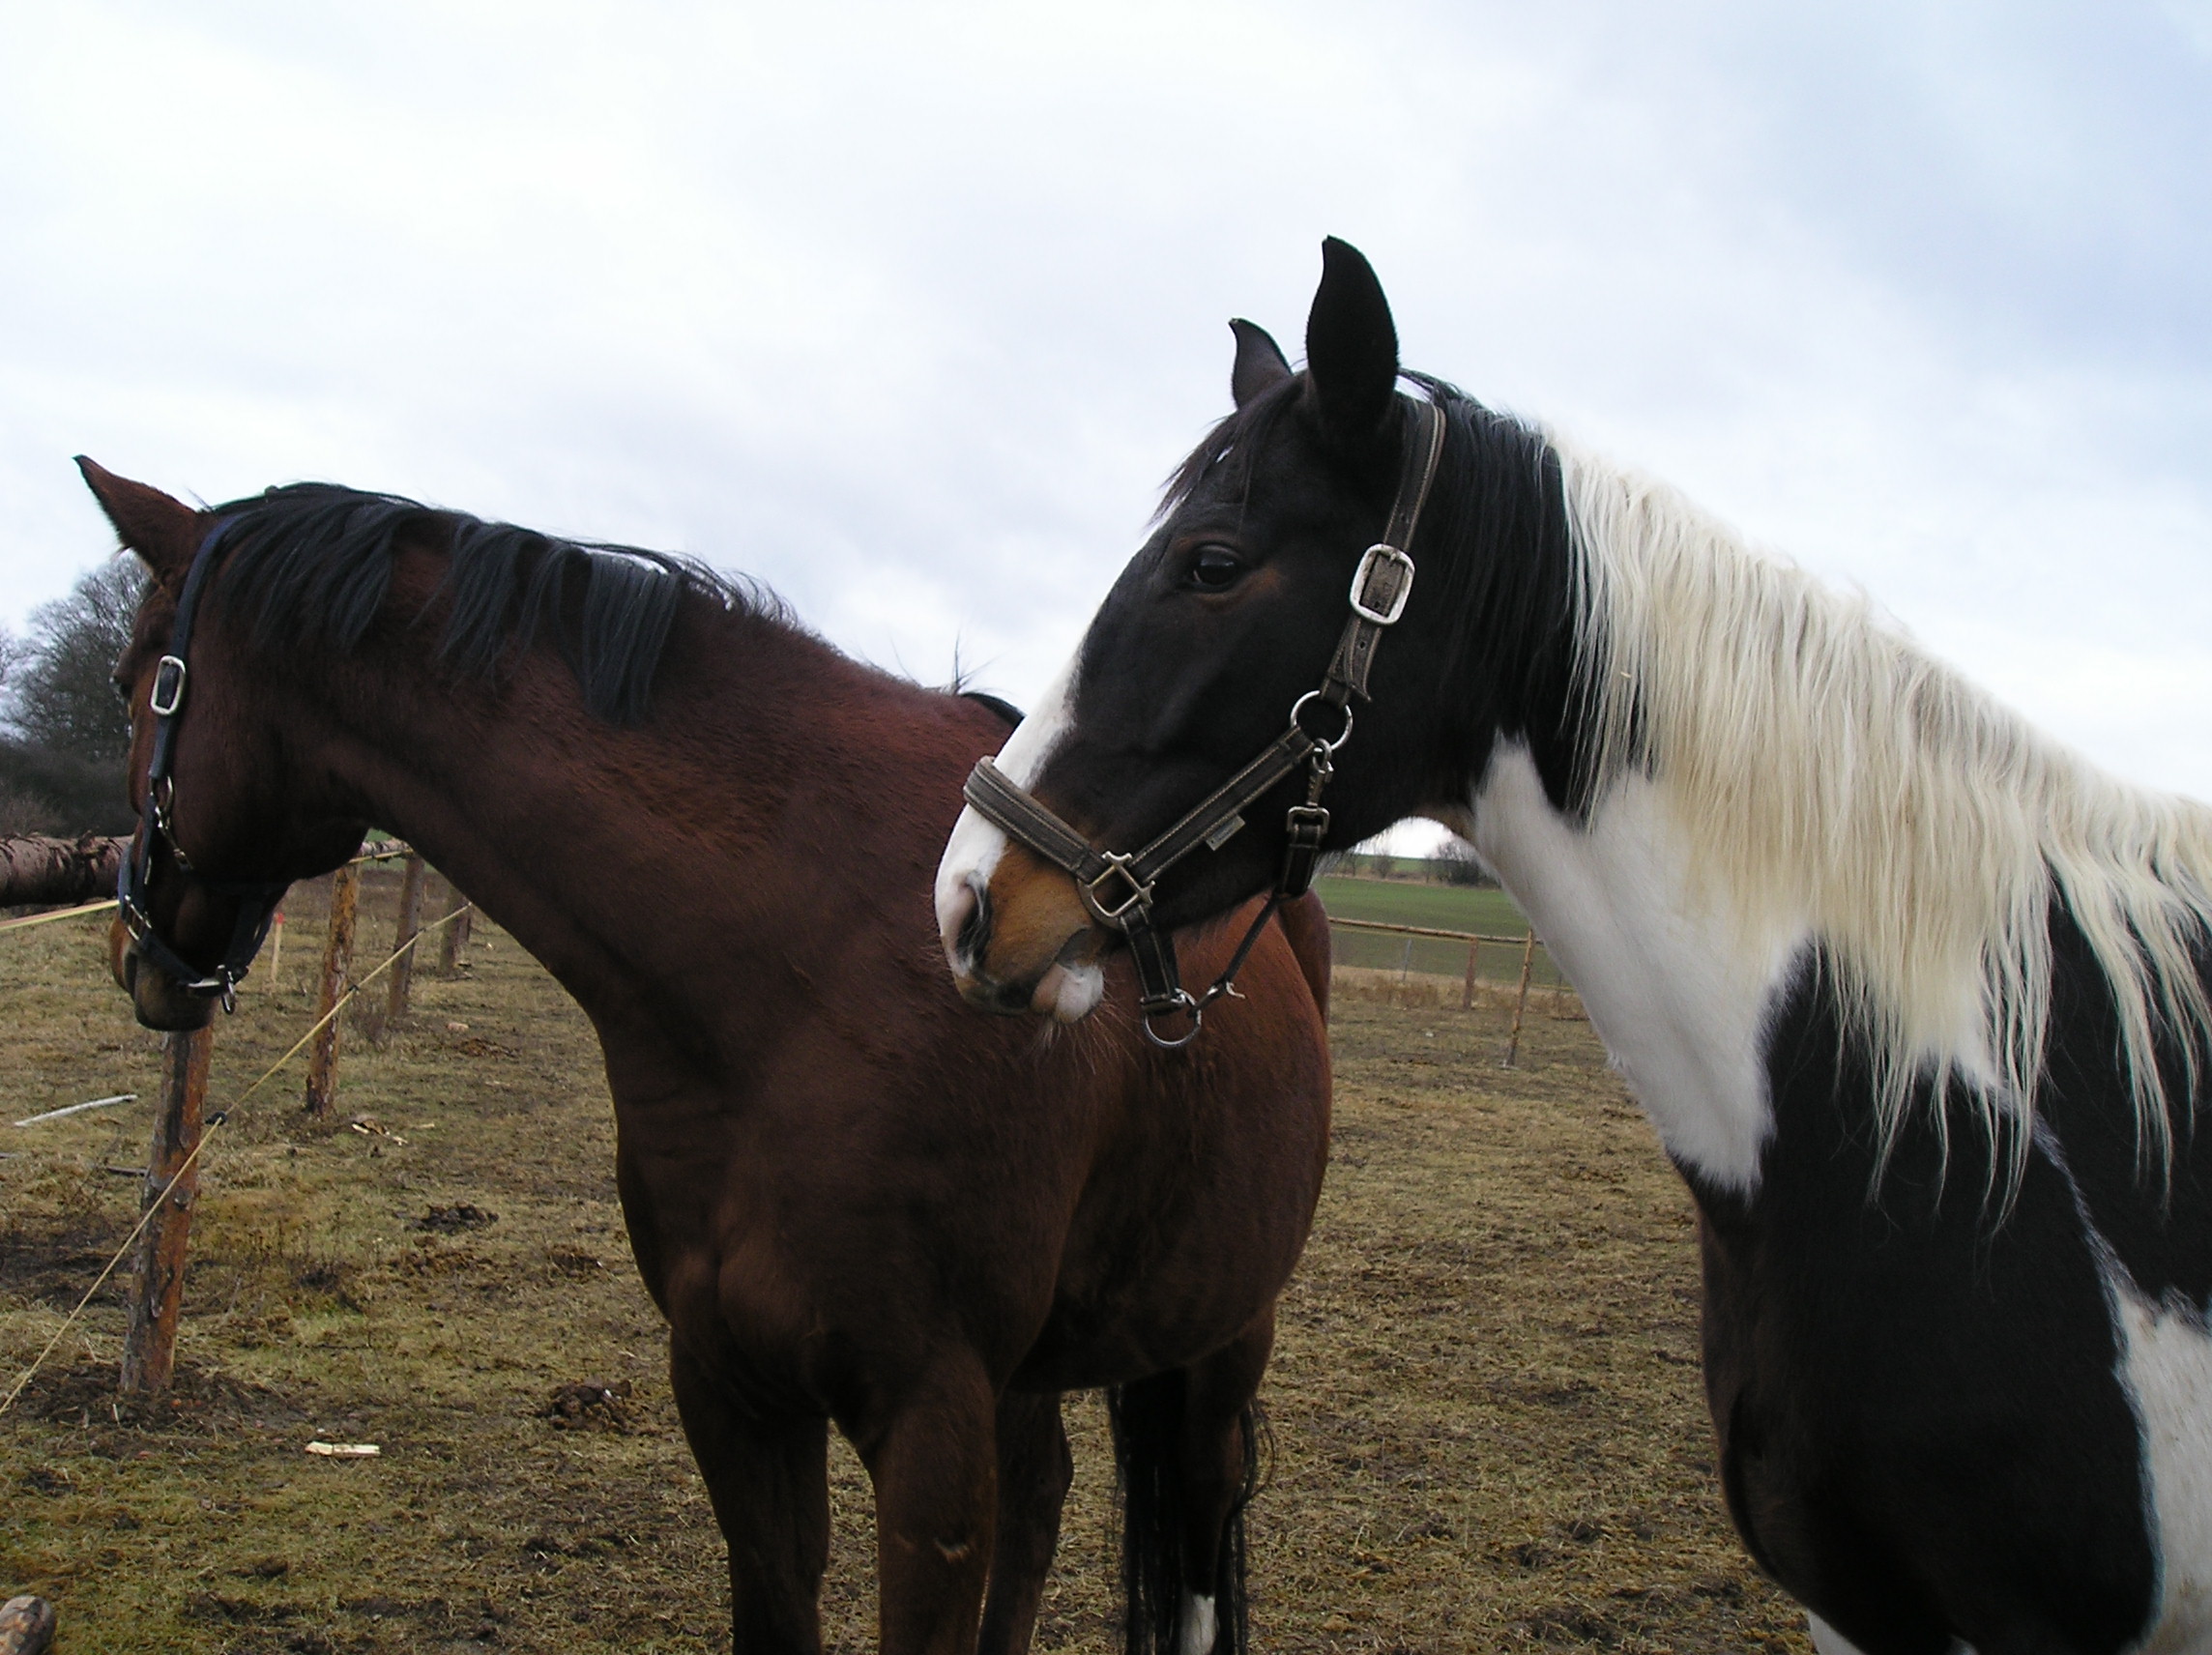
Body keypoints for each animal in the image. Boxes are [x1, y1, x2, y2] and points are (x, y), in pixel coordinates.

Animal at [81, 457, 1326, 1654]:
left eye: (137, 674)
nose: (133, 943)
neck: (806, 962)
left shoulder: (929, 1424)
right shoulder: (731, 1388)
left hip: (1220, 1343)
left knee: (1197, 1525)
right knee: (1042, 1497)